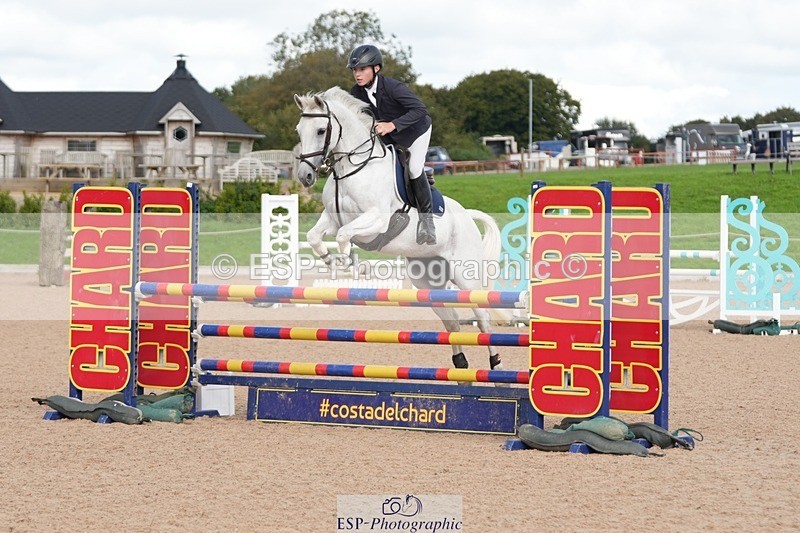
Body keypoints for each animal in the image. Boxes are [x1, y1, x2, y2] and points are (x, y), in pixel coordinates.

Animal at [293, 87, 504, 370]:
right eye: (298, 130)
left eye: (319, 130)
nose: (305, 177)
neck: (352, 168)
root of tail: (467, 217)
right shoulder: (333, 217)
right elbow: (315, 236)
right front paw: (332, 262)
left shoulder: (377, 220)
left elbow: (344, 236)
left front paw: (353, 265)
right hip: (427, 280)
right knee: (451, 320)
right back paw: (460, 363)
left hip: (465, 275)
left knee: (482, 317)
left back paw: (495, 363)